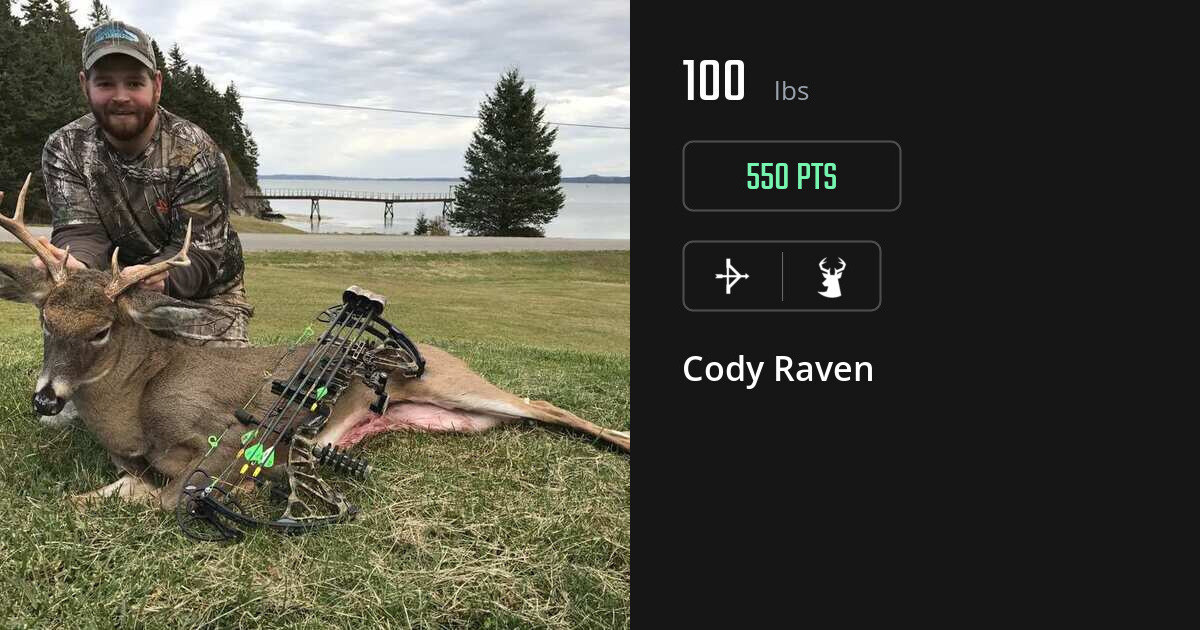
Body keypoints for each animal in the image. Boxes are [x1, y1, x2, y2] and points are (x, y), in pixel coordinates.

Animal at [0, 175, 629, 512]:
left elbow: (166, 495)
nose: (46, 398)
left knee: (542, 403)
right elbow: (115, 487)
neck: (129, 409)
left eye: (101, 329)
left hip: (454, 380)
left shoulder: (222, 430)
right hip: (448, 417)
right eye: (45, 321)